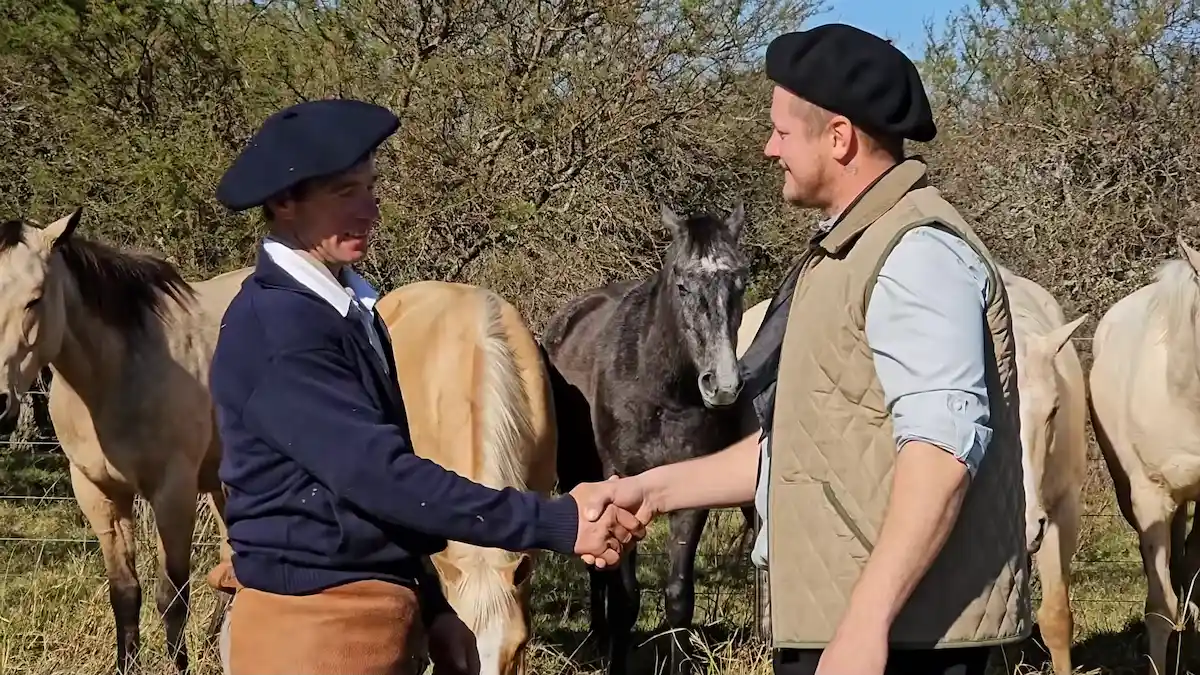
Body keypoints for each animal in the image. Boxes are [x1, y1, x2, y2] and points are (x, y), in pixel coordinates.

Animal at [541, 202, 750, 675]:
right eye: (682, 284)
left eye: (740, 282)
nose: (723, 386)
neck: (659, 390)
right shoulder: (618, 483)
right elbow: (624, 597)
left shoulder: (691, 496)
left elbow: (678, 597)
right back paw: (599, 639)